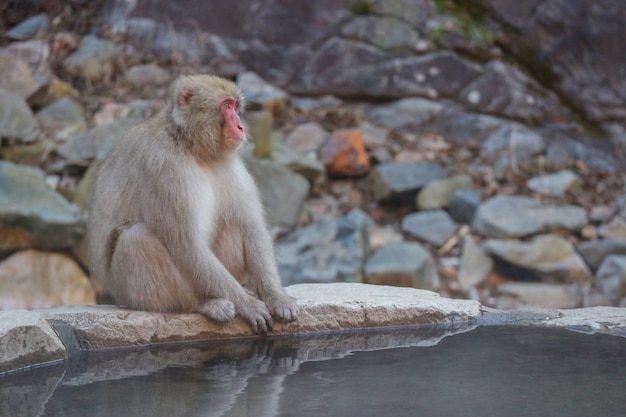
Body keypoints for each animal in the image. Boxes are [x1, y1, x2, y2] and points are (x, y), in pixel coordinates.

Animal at [87, 74, 298, 332]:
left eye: (236, 106)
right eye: (226, 105)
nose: (240, 126)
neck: (191, 146)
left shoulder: (230, 165)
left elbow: (251, 228)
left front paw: (276, 297)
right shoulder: (164, 167)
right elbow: (187, 244)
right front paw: (247, 305)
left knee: (234, 224)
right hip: (132, 296)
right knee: (136, 238)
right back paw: (204, 304)